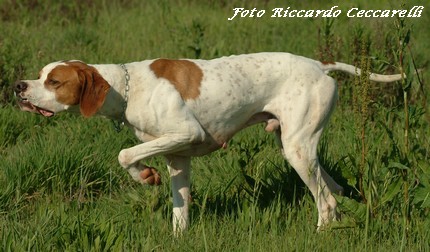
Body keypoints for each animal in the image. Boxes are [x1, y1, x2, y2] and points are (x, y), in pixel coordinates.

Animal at [13, 52, 404, 233]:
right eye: (40, 75)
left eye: (54, 81)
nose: (18, 86)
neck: (127, 88)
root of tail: (320, 66)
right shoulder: (177, 158)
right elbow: (180, 211)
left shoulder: (187, 133)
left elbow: (125, 155)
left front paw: (144, 175)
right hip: (299, 147)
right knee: (334, 190)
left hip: (297, 151)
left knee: (326, 201)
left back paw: (321, 233)